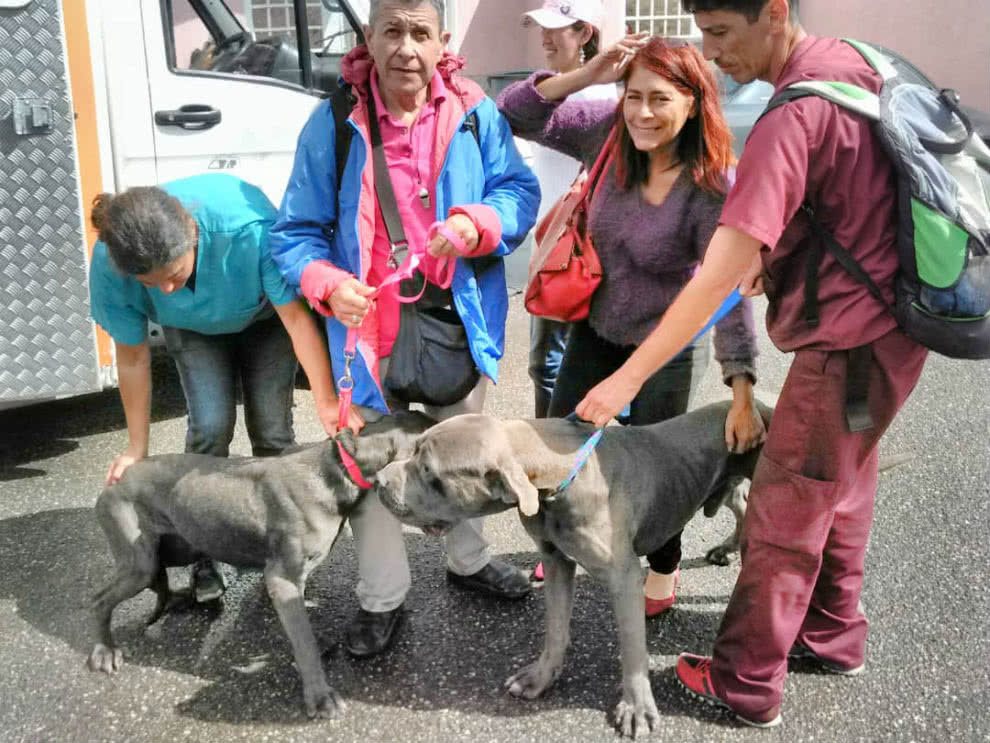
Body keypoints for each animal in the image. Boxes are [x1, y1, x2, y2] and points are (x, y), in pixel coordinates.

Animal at [87, 412, 436, 720]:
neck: (337, 465)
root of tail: (115, 481)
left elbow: (301, 631)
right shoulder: (283, 579)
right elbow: (304, 642)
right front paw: (320, 697)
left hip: (179, 545)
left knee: (157, 581)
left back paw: (175, 599)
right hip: (139, 561)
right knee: (99, 599)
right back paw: (105, 651)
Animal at [376, 402, 772, 740]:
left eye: (429, 471)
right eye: (414, 450)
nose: (379, 480)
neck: (557, 481)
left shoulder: (624, 578)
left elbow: (633, 648)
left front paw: (636, 707)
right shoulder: (556, 561)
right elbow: (555, 629)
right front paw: (539, 678)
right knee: (740, 501)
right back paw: (726, 548)